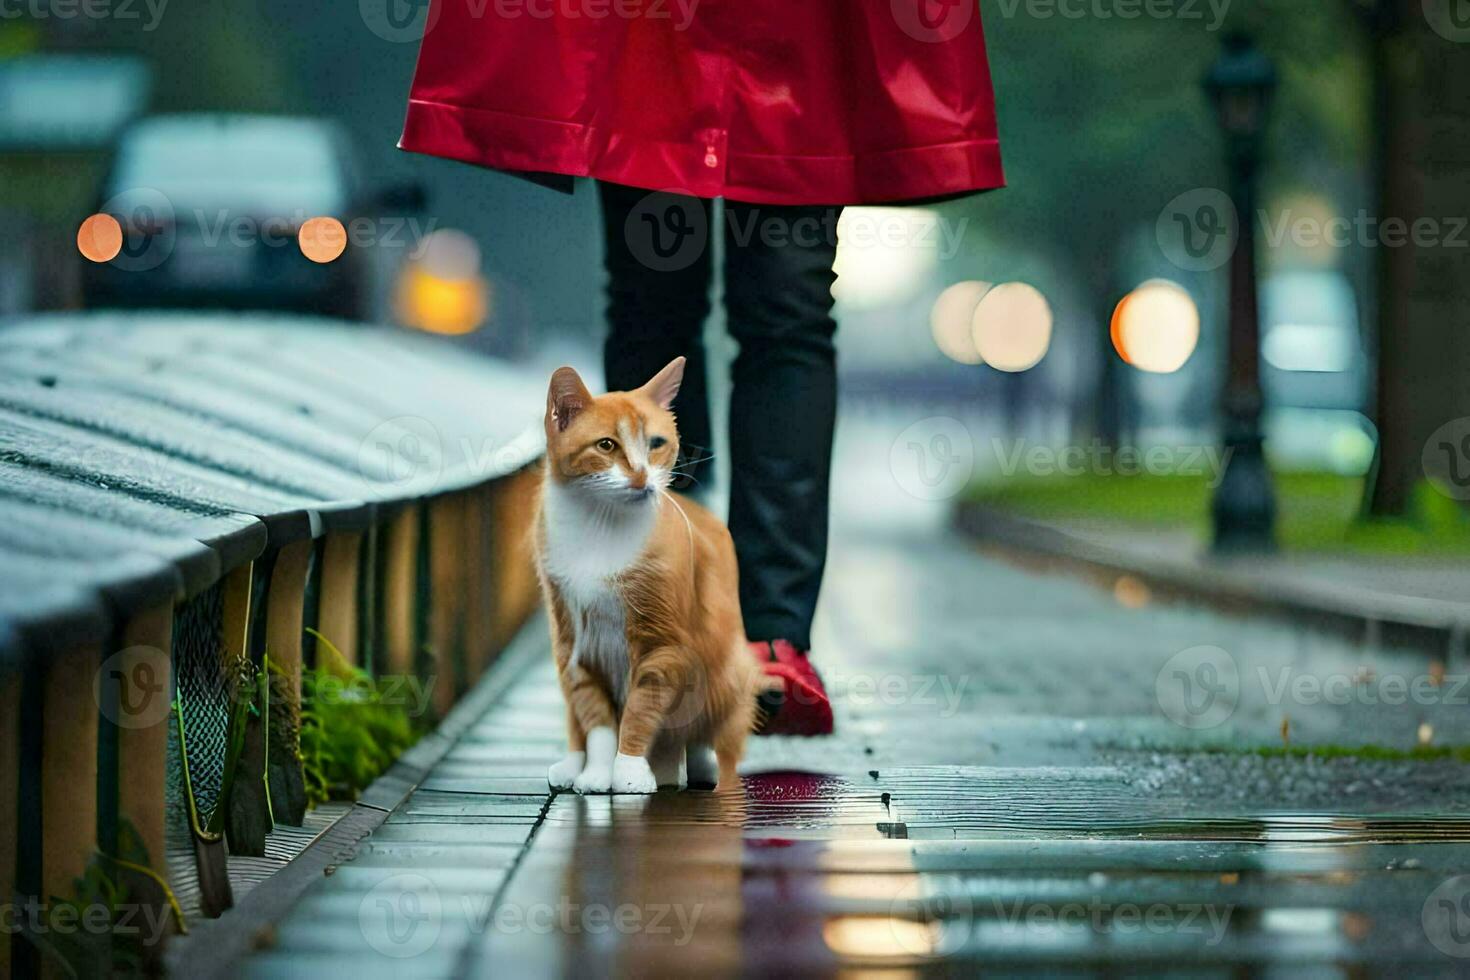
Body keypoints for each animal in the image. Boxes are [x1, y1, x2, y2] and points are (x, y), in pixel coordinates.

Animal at [535, 357, 758, 793]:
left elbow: (640, 710)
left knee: (705, 730)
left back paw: (704, 768)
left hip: (726, 670)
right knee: (575, 719)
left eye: (656, 443)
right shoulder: (574, 645)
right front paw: (596, 773)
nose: (641, 476)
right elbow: (596, 719)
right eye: (606, 445)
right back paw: (571, 766)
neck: (599, 526)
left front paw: (628, 771)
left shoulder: (661, 646)